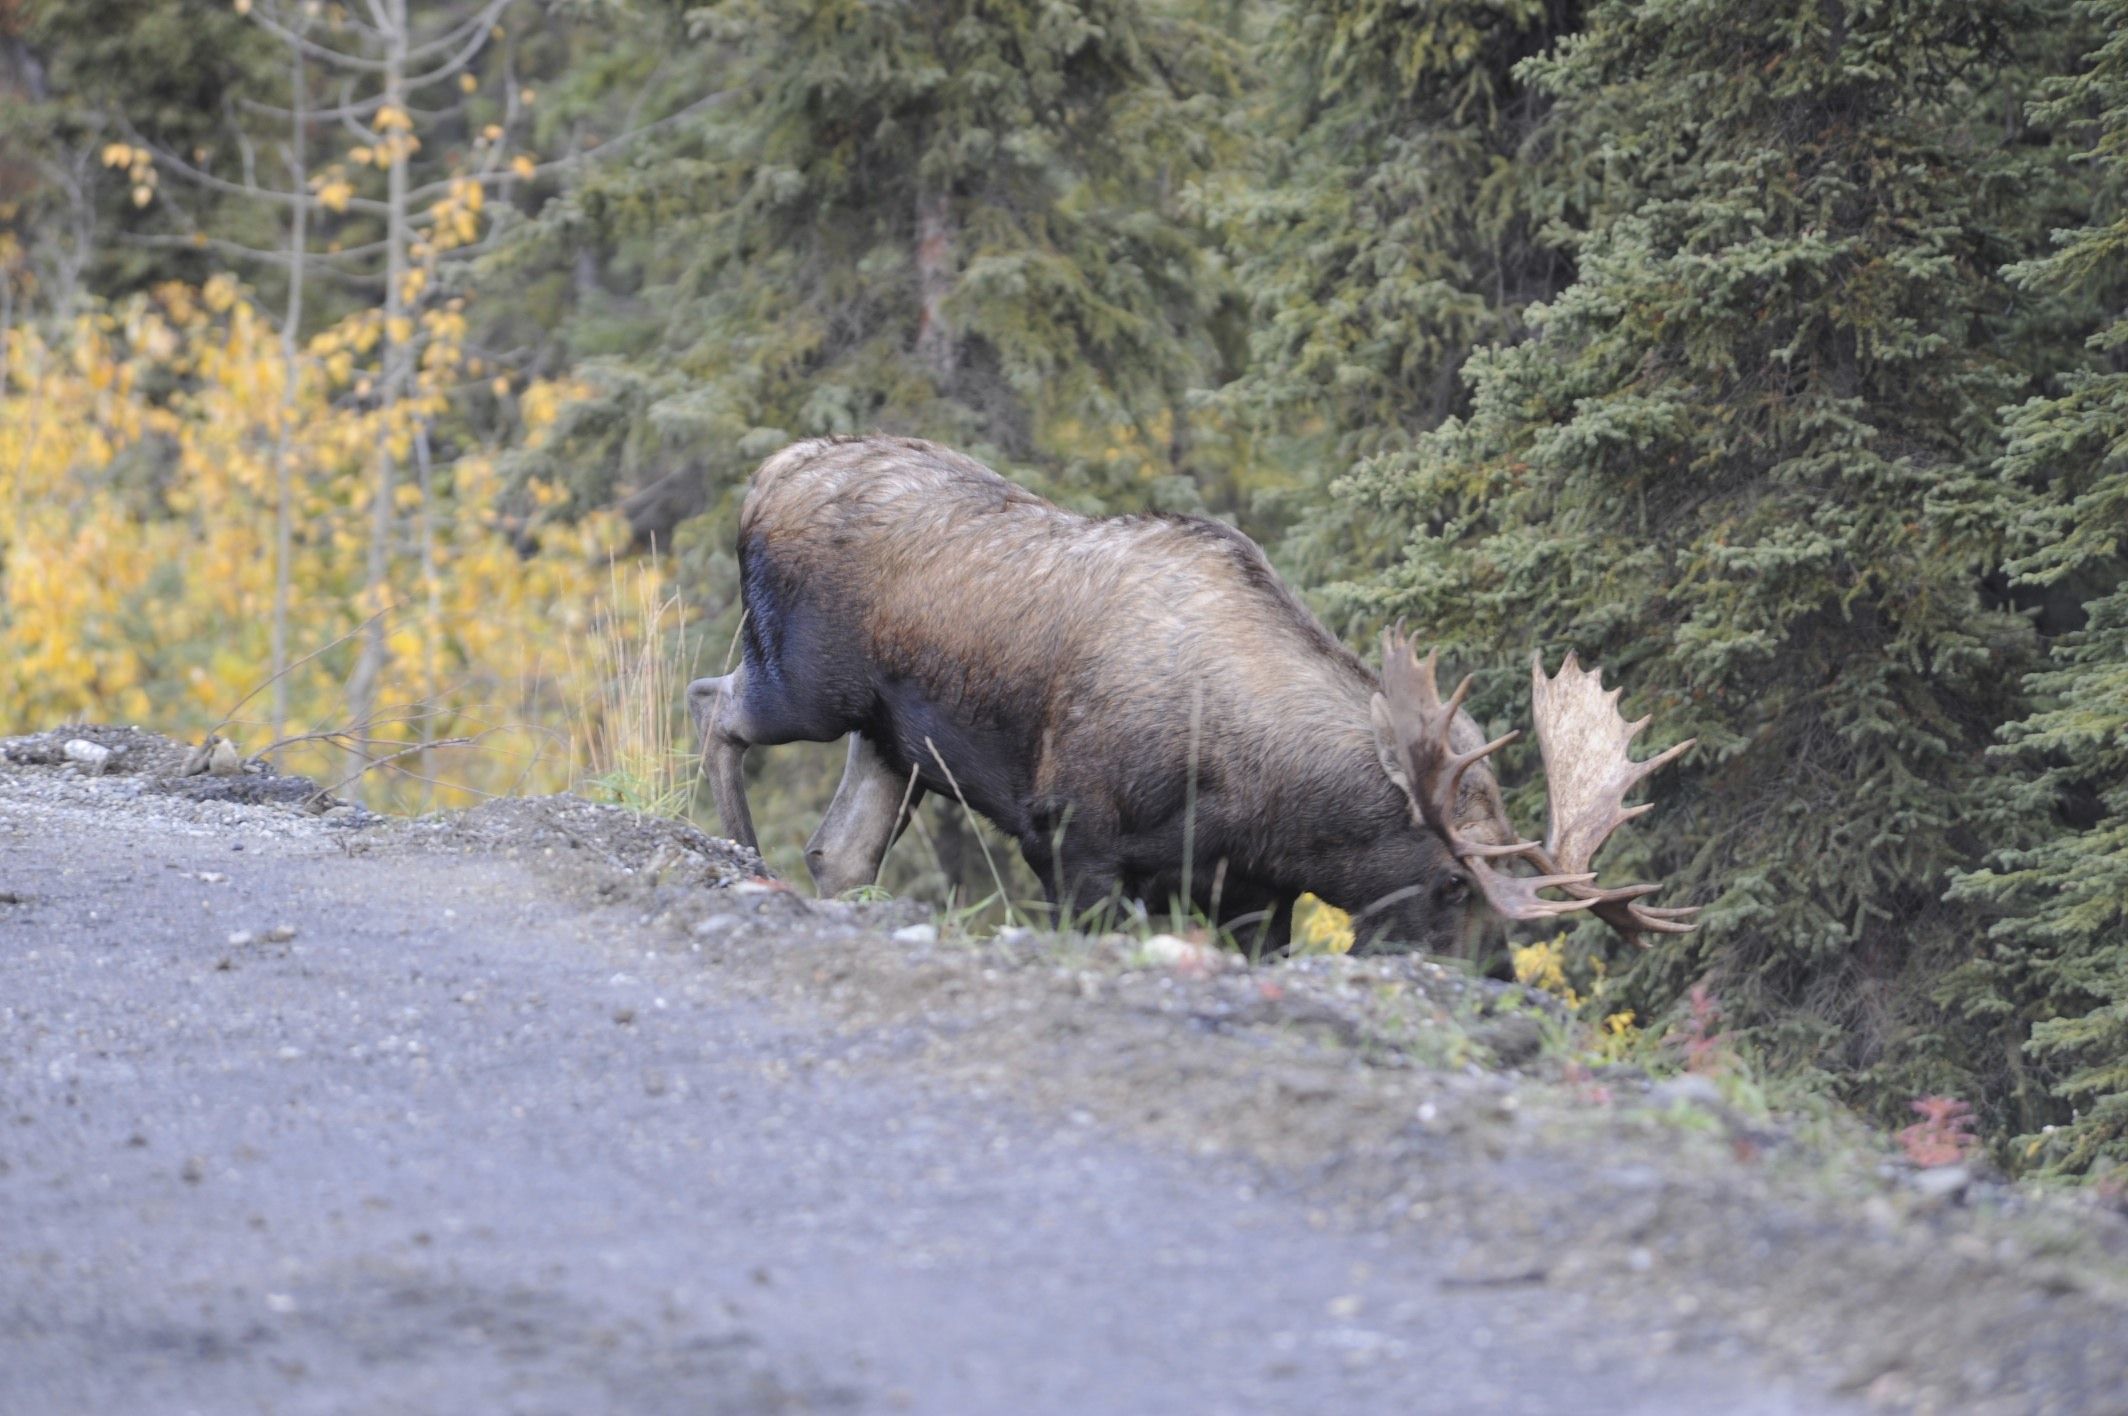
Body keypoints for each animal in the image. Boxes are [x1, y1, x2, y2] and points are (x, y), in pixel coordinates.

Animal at [689, 436, 1702, 953]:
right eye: (1456, 884)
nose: (1491, 992)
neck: (1264, 804)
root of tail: (761, 479)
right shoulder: (1071, 838)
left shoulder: (1254, 892)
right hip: (808, 684)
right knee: (714, 700)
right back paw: (743, 854)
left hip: (893, 743)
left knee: (840, 848)